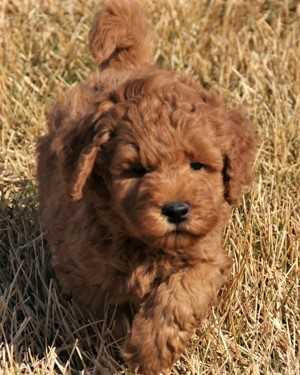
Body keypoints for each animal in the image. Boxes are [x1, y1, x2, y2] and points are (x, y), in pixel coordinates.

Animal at [35, 1, 255, 374]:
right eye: (136, 171)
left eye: (198, 165)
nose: (177, 210)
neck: (147, 246)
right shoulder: (87, 272)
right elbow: (109, 312)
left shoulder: (205, 258)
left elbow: (182, 294)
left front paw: (150, 350)